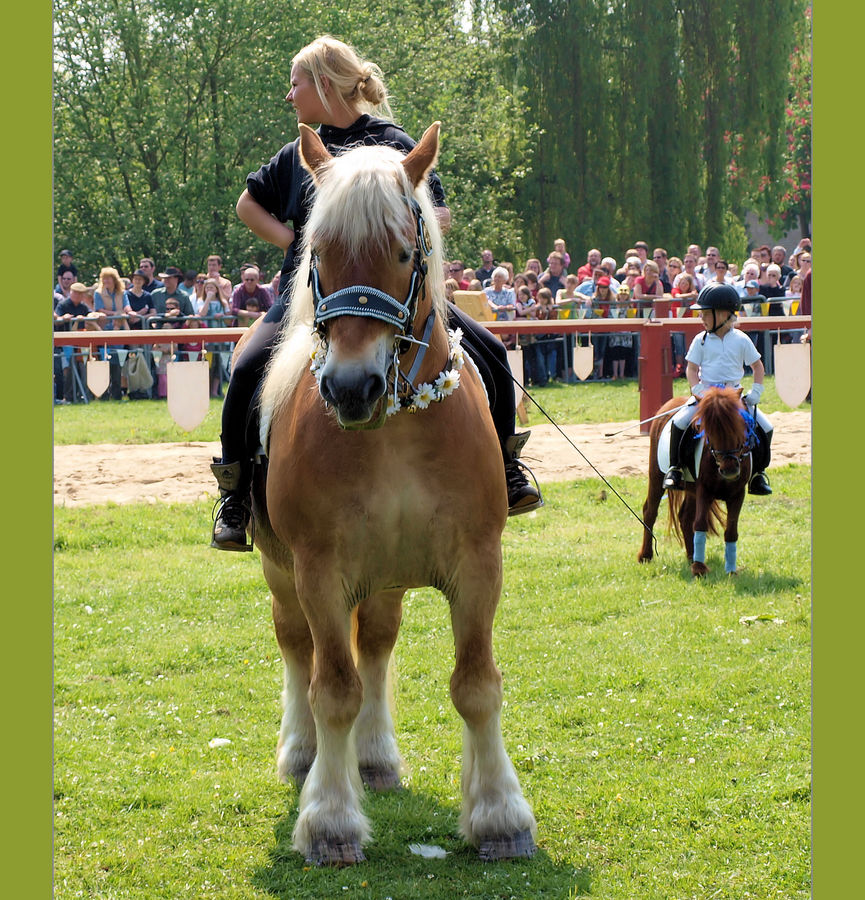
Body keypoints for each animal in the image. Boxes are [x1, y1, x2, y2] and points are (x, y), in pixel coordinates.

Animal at [246, 123, 536, 860]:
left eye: (404, 252)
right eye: (318, 254)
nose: (352, 387)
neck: (395, 427)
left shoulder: (477, 562)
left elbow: (476, 685)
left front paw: (500, 813)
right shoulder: (319, 570)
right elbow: (332, 689)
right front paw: (329, 819)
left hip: (387, 573)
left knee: (375, 645)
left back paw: (373, 757)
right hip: (281, 570)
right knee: (297, 647)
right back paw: (302, 753)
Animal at [636, 386, 752, 576]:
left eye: (740, 425)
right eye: (708, 431)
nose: (730, 470)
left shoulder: (737, 494)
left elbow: (731, 531)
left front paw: (731, 571)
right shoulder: (704, 490)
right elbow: (700, 524)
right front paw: (699, 569)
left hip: (691, 491)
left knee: (685, 517)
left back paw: (692, 556)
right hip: (656, 476)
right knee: (650, 511)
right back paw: (646, 555)